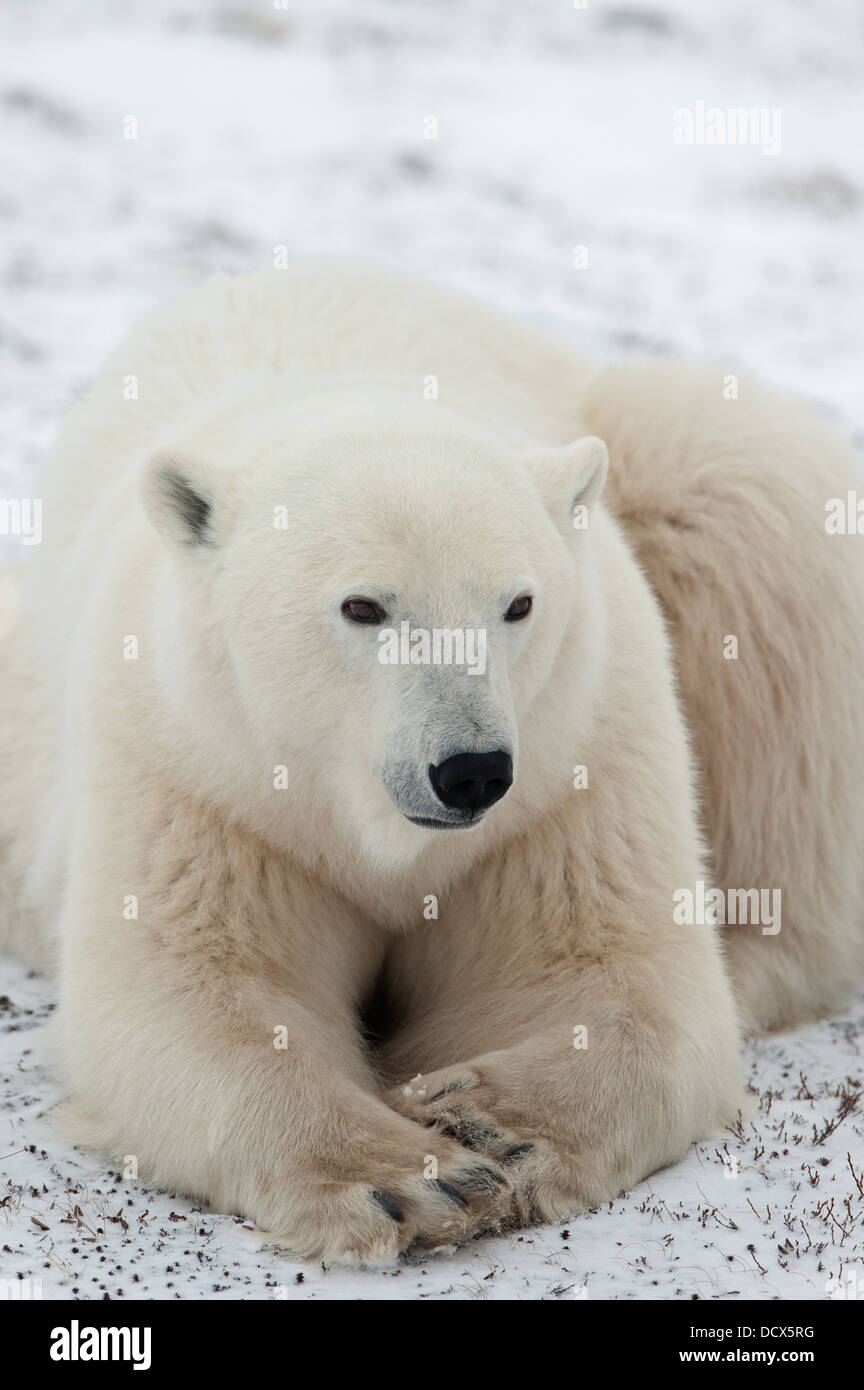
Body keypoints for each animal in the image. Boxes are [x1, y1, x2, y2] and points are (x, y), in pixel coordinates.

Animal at [1, 260, 863, 1263]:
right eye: (364, 606)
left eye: (518, 603)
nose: (472, 769)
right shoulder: (202, 768)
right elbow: (188, 991)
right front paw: (407, 1182)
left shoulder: (574, 758)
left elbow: (609, 977)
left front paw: (489, 1121)